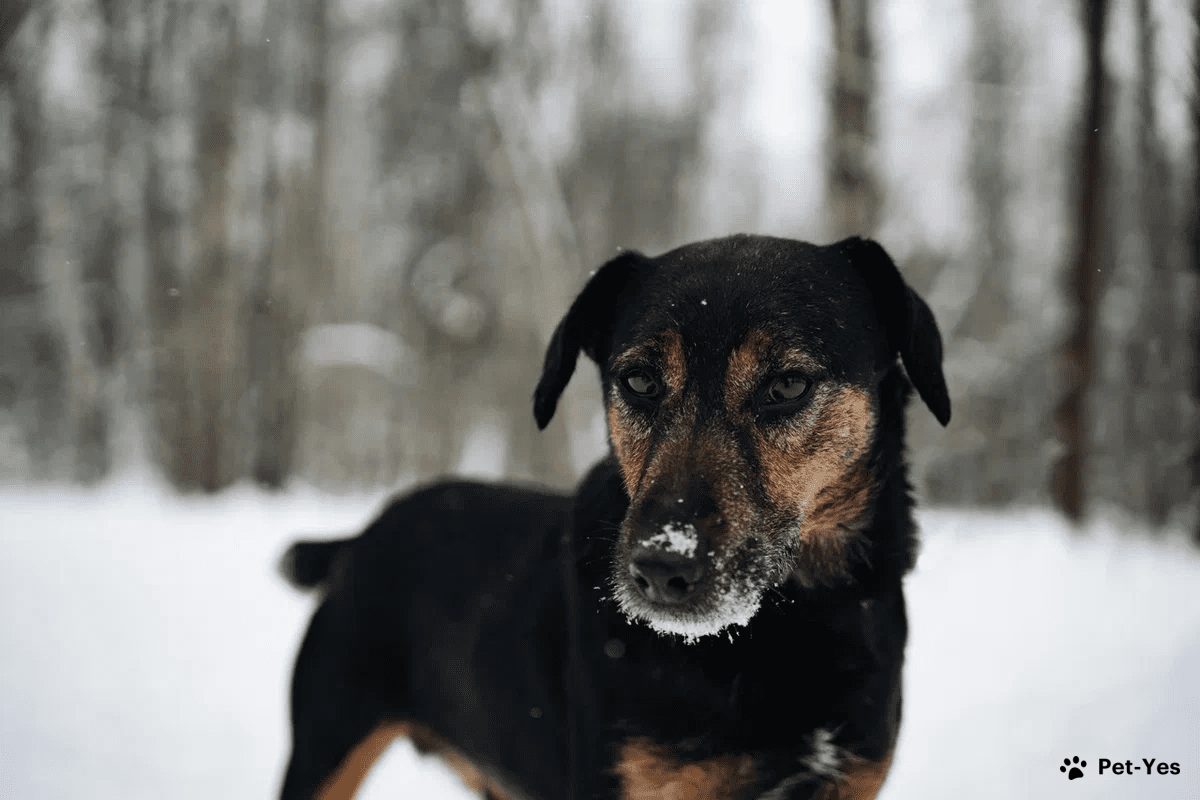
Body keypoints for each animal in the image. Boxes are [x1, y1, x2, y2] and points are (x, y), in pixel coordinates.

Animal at [278, 236, 945, 800]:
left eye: (788, 385)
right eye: (640, 380)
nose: (662, 569)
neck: (786, 630)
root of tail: (360, 537)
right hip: (327, 740)